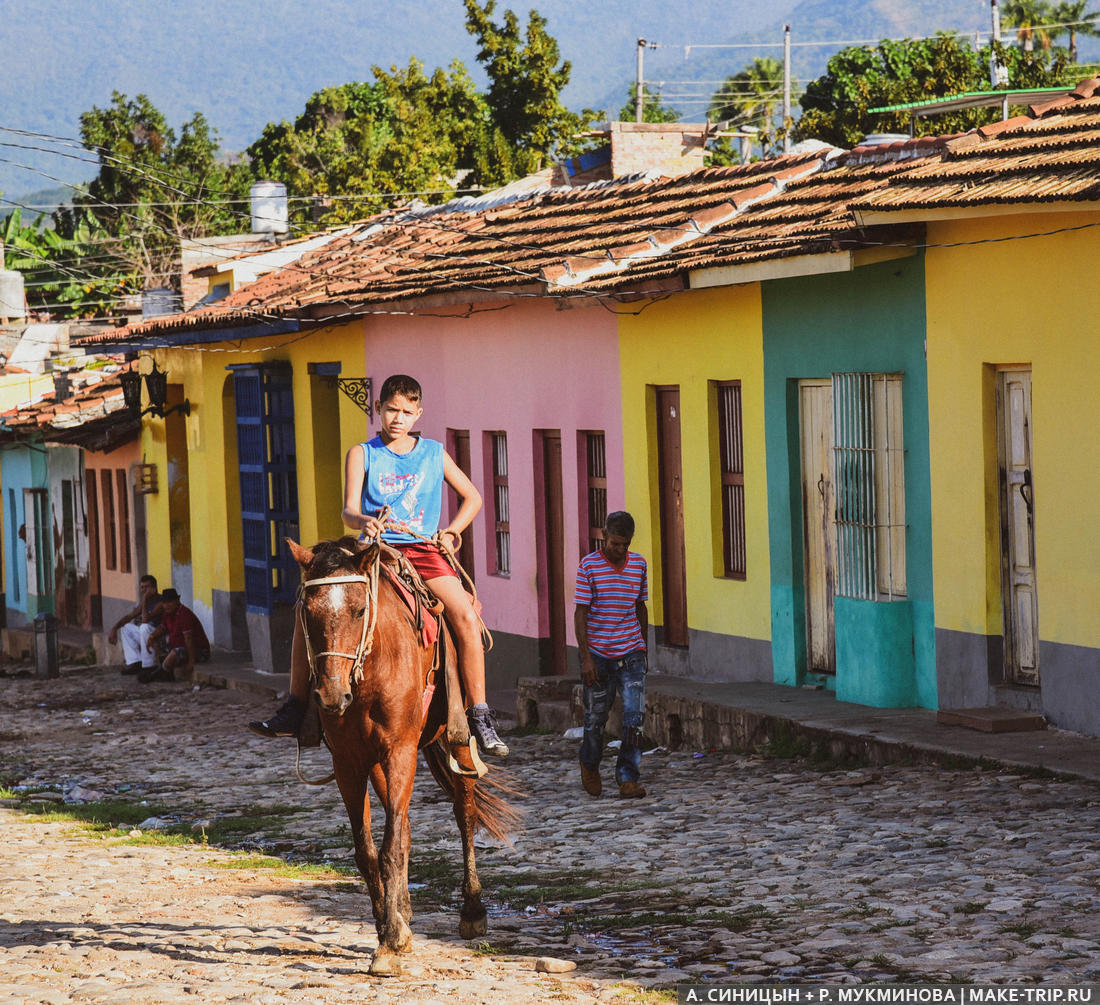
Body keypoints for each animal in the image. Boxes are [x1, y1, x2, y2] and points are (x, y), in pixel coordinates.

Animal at [288, 536, 519, 976]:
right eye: (307, 613)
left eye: (360, 609)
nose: (330, 695)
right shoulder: (348, 763)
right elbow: (368, 852)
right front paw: (388, 928)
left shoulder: (399, 751)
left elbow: (391, 848)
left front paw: (390, 944)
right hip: (379, 762)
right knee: (407, 827)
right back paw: (405, 913)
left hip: (453, 740)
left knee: (464, 813)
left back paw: (472, 910)